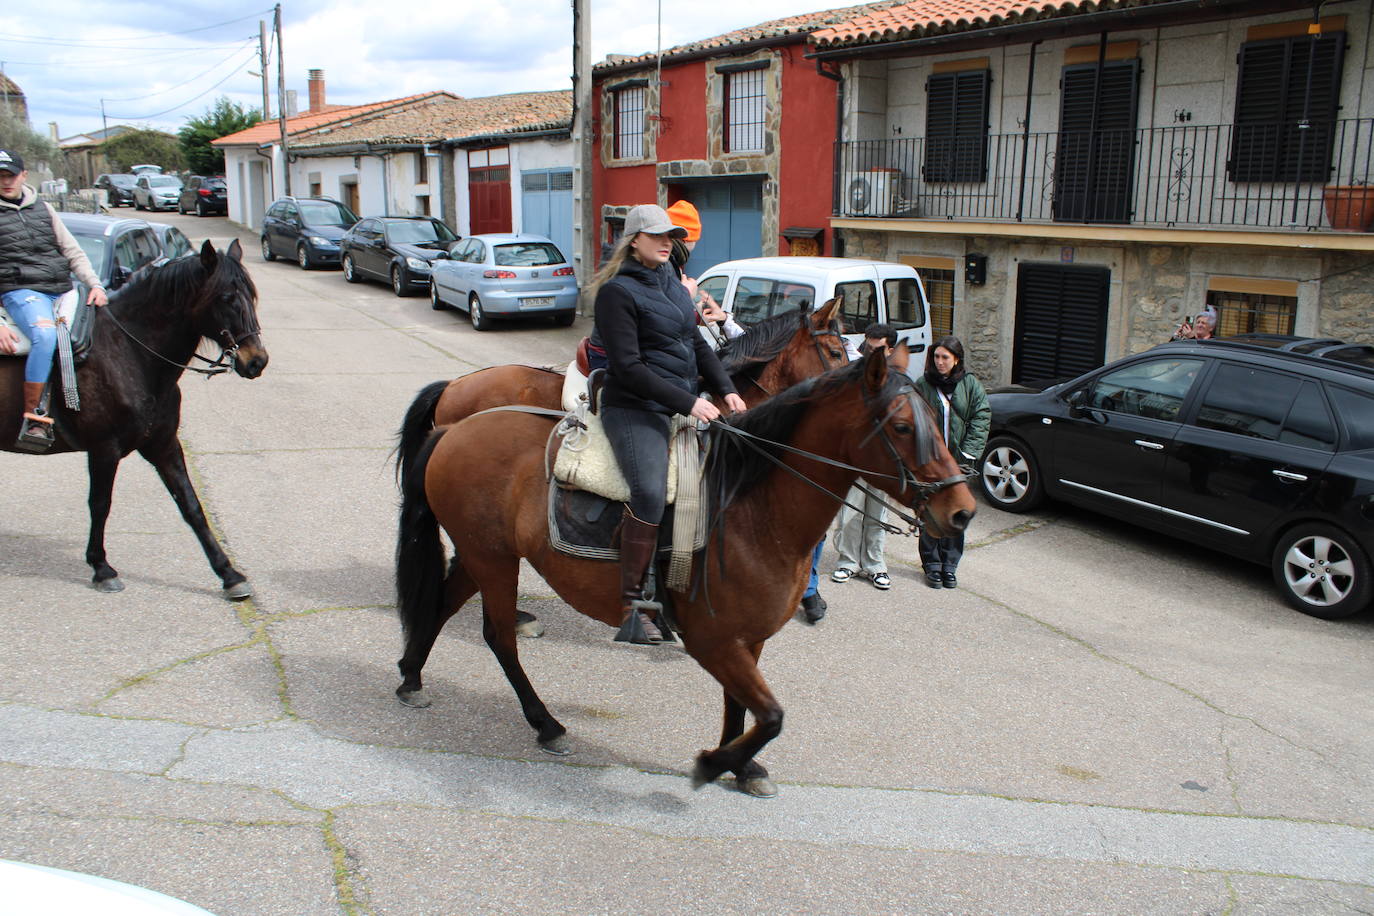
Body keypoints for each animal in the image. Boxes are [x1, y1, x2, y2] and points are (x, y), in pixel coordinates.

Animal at [0, 240, 267, 598]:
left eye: (251, 295)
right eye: (226, 297)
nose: (257, 361)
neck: (129, 353)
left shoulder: (164, 445)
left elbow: (192, 506)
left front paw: (229, 573)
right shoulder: (104, 448)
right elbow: (100, 504)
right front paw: (101, 568)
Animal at [395, 347, 978, 791]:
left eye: (936, 421)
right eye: (901, 426)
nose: (962, 511)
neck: (750, 508)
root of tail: (455, 428)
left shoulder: (747, 639)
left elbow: (741, 709)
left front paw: (742, 767)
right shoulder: (712, 641)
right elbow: (771, 715)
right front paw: (713, 764)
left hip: (481, 555)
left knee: (442, 605)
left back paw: (411, 676)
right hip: (494, 562)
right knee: (499, 638)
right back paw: (546, 724)